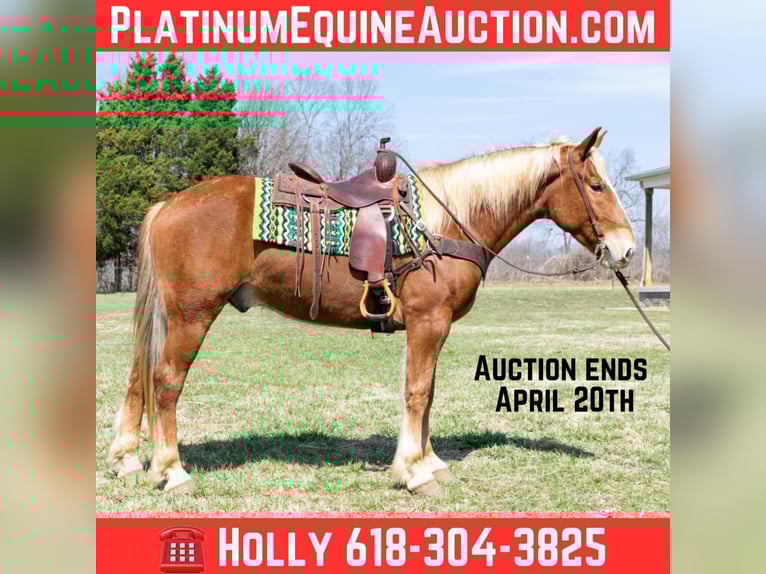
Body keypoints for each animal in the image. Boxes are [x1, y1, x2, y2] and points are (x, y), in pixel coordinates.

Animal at [108, 127, 635, 496]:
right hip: (192, 316)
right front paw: (414, 473)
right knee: (165, 381)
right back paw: (171, 472)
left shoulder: (432, 328)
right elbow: (418, 393)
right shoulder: (428, 323)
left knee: (137, 376)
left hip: (167, 316)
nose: (626, 249)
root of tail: (169, 204)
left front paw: (428, 460)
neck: (444, 223)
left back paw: (128, 460)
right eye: (595, 185)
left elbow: (427, 393)